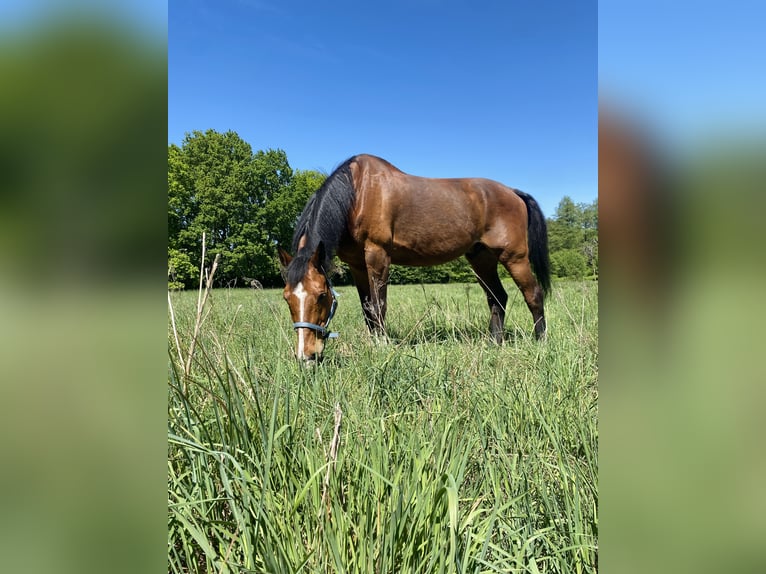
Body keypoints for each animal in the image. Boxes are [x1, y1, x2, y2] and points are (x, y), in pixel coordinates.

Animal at [277, 154, 551, 363]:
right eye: (287, 297)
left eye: (321, 295)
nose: (306, 356)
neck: (358, 193)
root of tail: (513, 193)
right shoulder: (357, 265)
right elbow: (367, 309)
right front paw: (374, 344)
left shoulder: (378, 254)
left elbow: (379, 305)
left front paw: (382, 346)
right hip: (481, 259)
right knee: (497, 298)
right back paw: (495, 343)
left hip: (515, 257)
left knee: (533, 294)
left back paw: (541, 341)